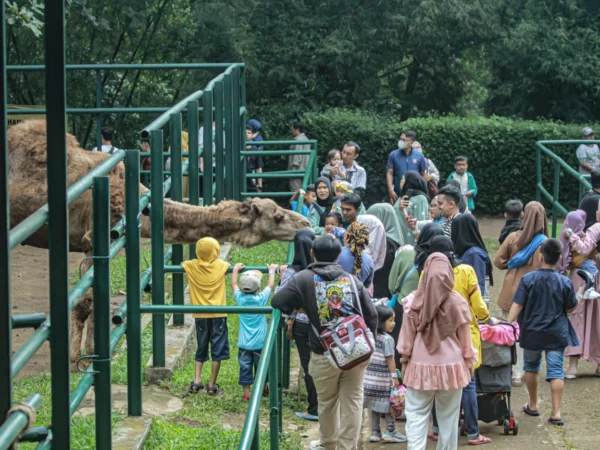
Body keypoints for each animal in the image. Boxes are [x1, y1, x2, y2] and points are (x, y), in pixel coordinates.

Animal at [7, 121, 310, 368]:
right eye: (278, 215)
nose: (305, 222)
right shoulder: (94, 238)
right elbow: (85, 302)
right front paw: (76, 364)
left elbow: (93, 301)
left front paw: (90, 359)